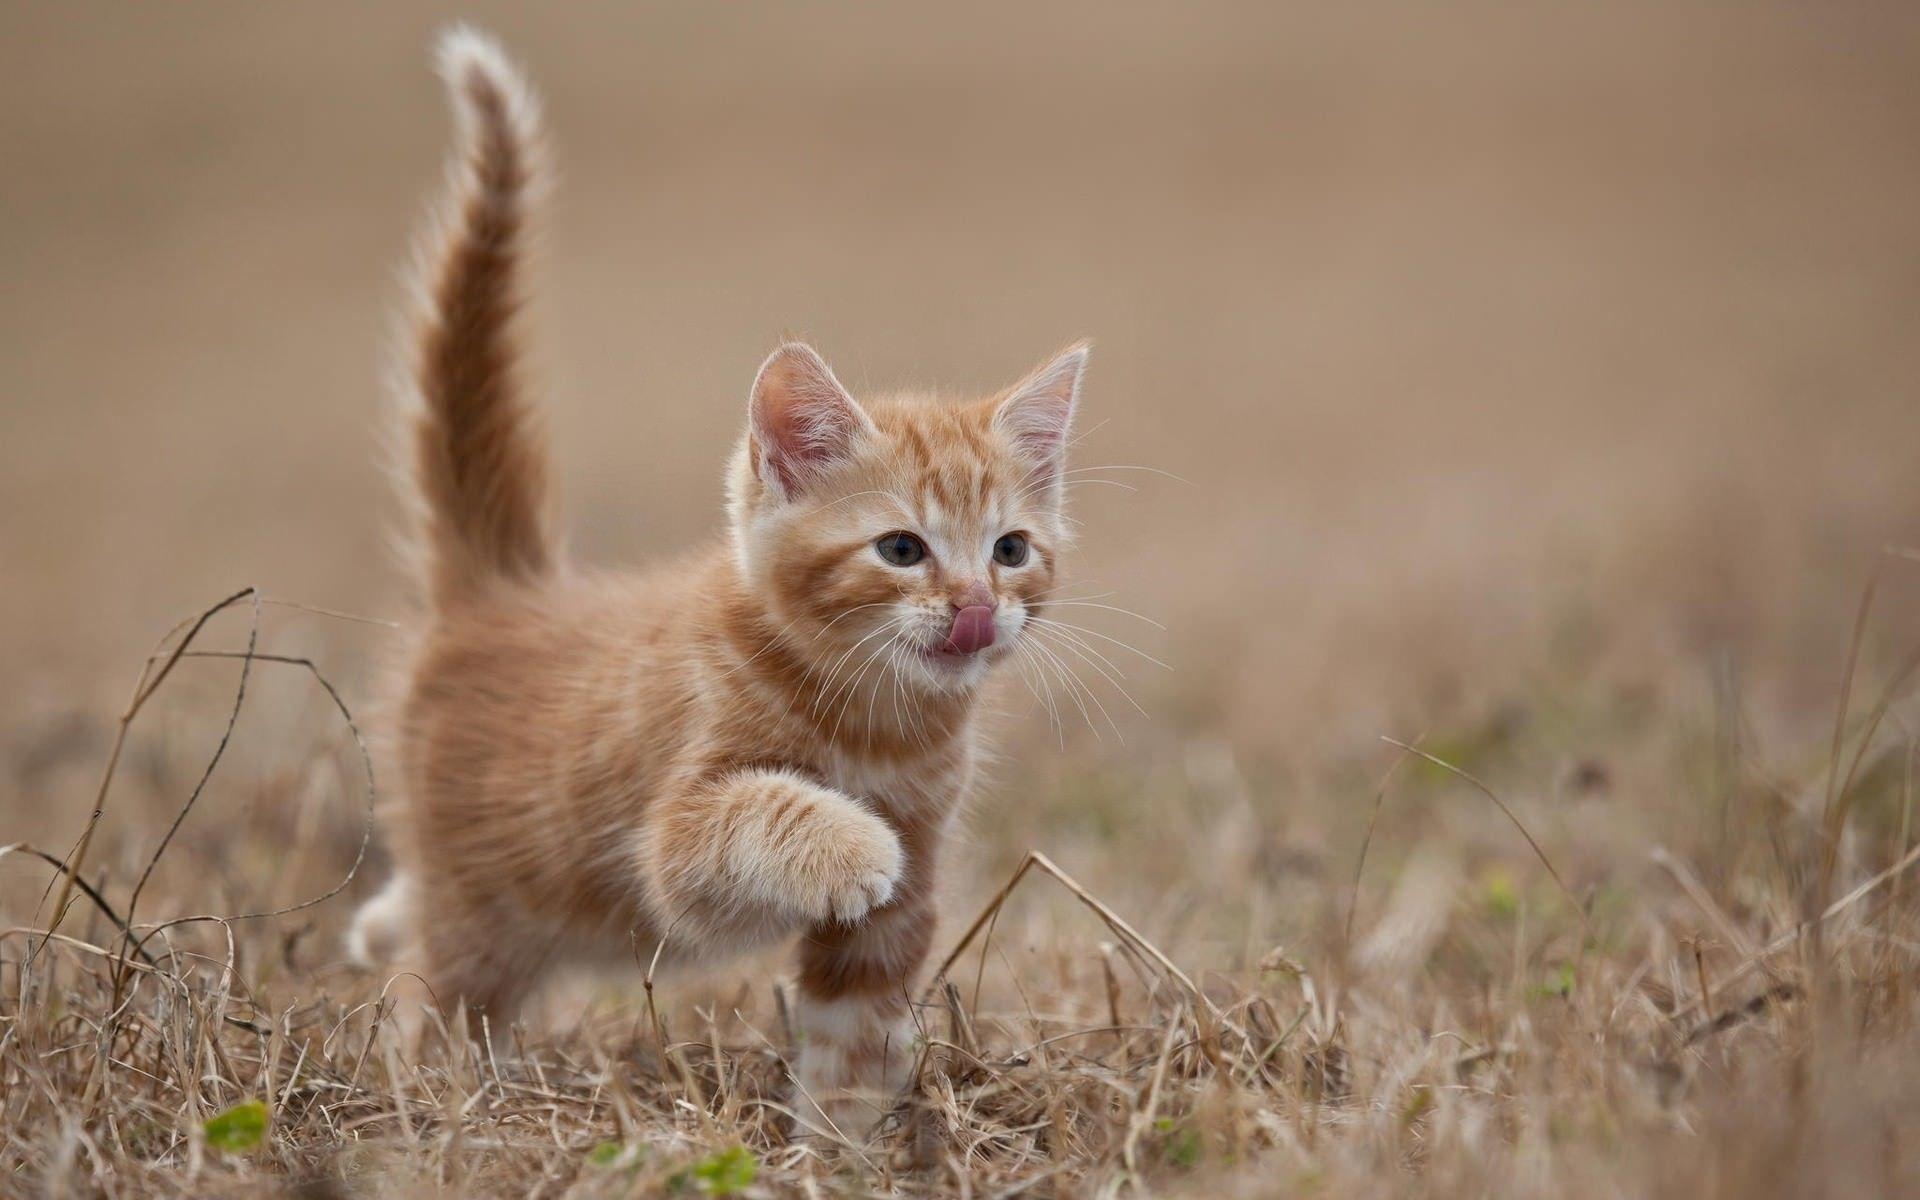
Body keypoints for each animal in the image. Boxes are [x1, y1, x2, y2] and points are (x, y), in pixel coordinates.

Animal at [351, 25, 1090, 1128]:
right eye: (902, 550)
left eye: (1010, 551)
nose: (971, 608)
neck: (874, 719)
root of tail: (504, 591)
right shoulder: (677, 842)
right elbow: (759, 810)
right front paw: (853, 846)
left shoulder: (902, 904)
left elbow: (856, 1023)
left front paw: (845, 1139)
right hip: (482, 910)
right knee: (439, 997)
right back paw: (431, 1101)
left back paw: (373, 924)